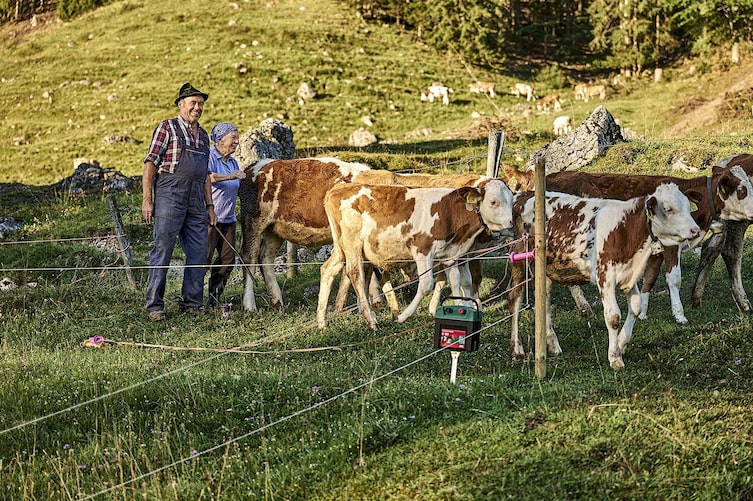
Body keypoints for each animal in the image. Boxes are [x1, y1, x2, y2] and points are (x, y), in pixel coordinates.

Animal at [314, 180, 516, 328]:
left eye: (512, 201)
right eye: (493, 202)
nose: (511, 223)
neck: (450, 212)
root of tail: (340, 188)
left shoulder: (450, 255)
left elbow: (457, 281)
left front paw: (464, 310)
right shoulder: (422, 249)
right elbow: (426, 284)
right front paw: (403, 316)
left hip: (341, 247)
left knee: (328, 270)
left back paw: (322, 322)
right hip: (353, 244)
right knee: (355, 274)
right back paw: (371, 320)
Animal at [508, 184, 704, 368]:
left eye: (688, 207)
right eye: (668, 209)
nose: (695, 230)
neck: (626, 229)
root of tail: (523, 195)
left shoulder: (629, 275)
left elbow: (635, 308)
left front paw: (621, 343)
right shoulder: (605, 277)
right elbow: (613, 316)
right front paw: (615, 357)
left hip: (546, 270)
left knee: (544, 300)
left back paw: (553, 344)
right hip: (520, 259)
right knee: (515, 297)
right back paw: (517, 350)